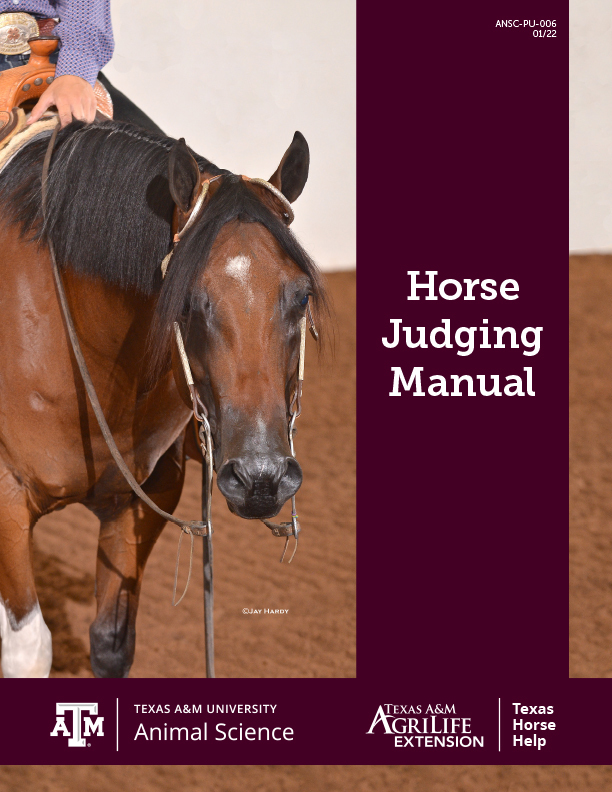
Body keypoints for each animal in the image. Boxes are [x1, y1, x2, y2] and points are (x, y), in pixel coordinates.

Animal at [0, 119, 327, 677]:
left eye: (301, 295)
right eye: (187, 299)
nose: (260, 478)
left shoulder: (145, 498)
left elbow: (112, 641)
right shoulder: (7, 502)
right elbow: (28, 648)